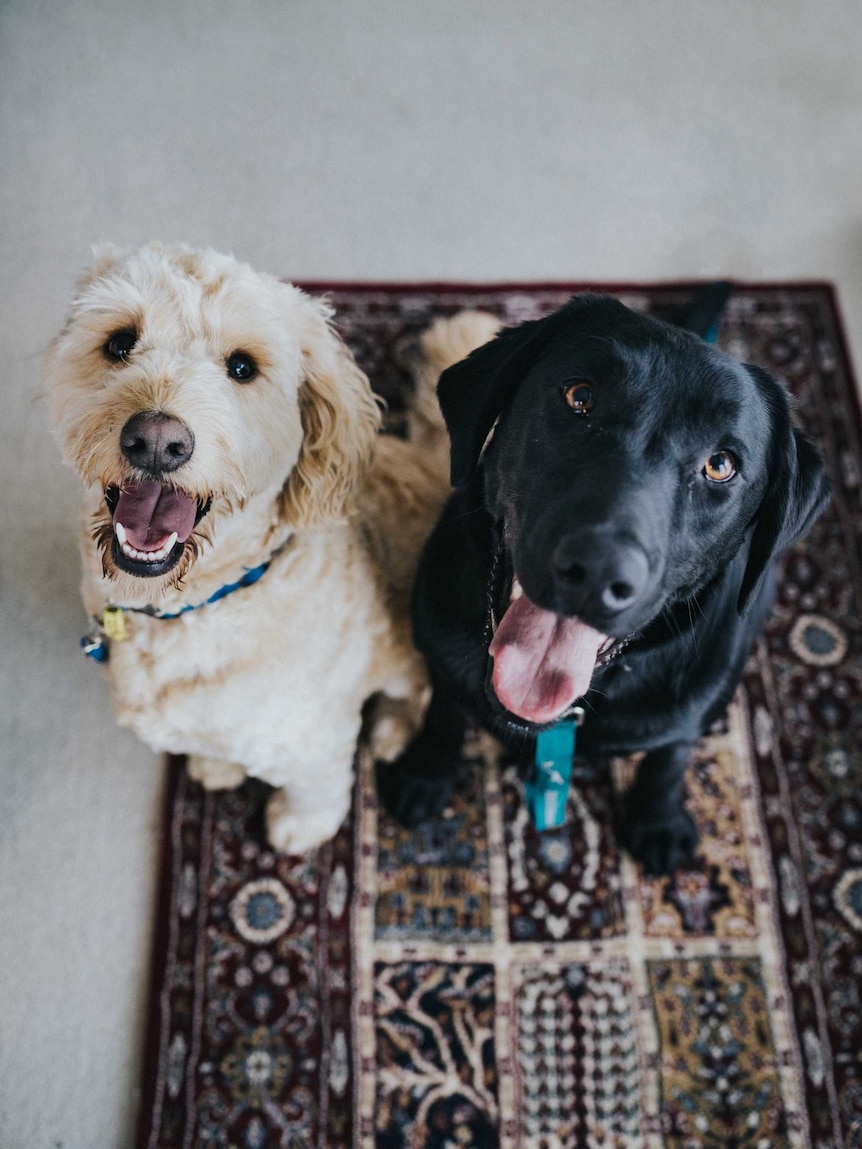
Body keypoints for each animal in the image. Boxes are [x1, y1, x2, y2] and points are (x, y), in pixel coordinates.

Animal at [47, 244, 498, 854]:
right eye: (119, 342)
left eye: (242, 367)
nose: (157, 441)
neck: (199, 604)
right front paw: (218, 766)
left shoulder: (313, 736)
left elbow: (316, 788)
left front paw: (298, 827)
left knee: (415, 691)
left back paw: (392, 730)